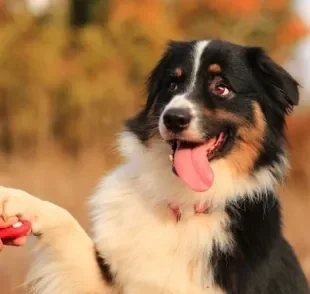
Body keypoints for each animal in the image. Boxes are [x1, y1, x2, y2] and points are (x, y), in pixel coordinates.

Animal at [0, 39, 308, 294]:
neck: (185, 206)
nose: (174, 118)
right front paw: (16, 200)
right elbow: (66, 222)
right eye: (172, 85)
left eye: (221, 87)